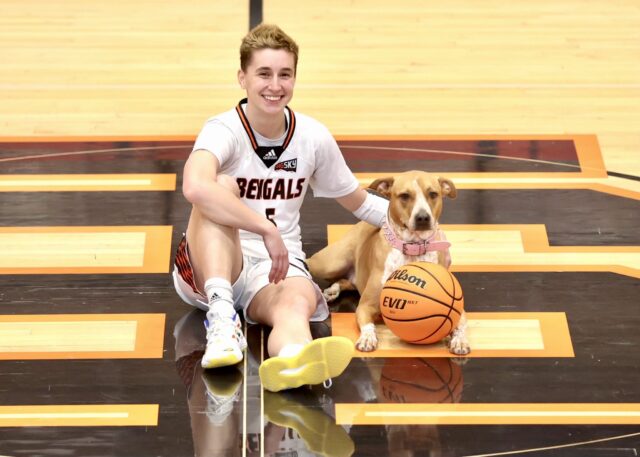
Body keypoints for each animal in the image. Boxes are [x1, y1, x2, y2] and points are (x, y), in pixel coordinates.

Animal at [308, 169, 468, 354]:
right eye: (404, 196)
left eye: (433, 194)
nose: (423, 217)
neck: (412, 248)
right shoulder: (365, 306)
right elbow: (368, 325)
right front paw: (367, 338)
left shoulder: (458, 308)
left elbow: (461, 324)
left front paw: (460, 340)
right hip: (331, 263)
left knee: (344, 281)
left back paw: (333, 290)